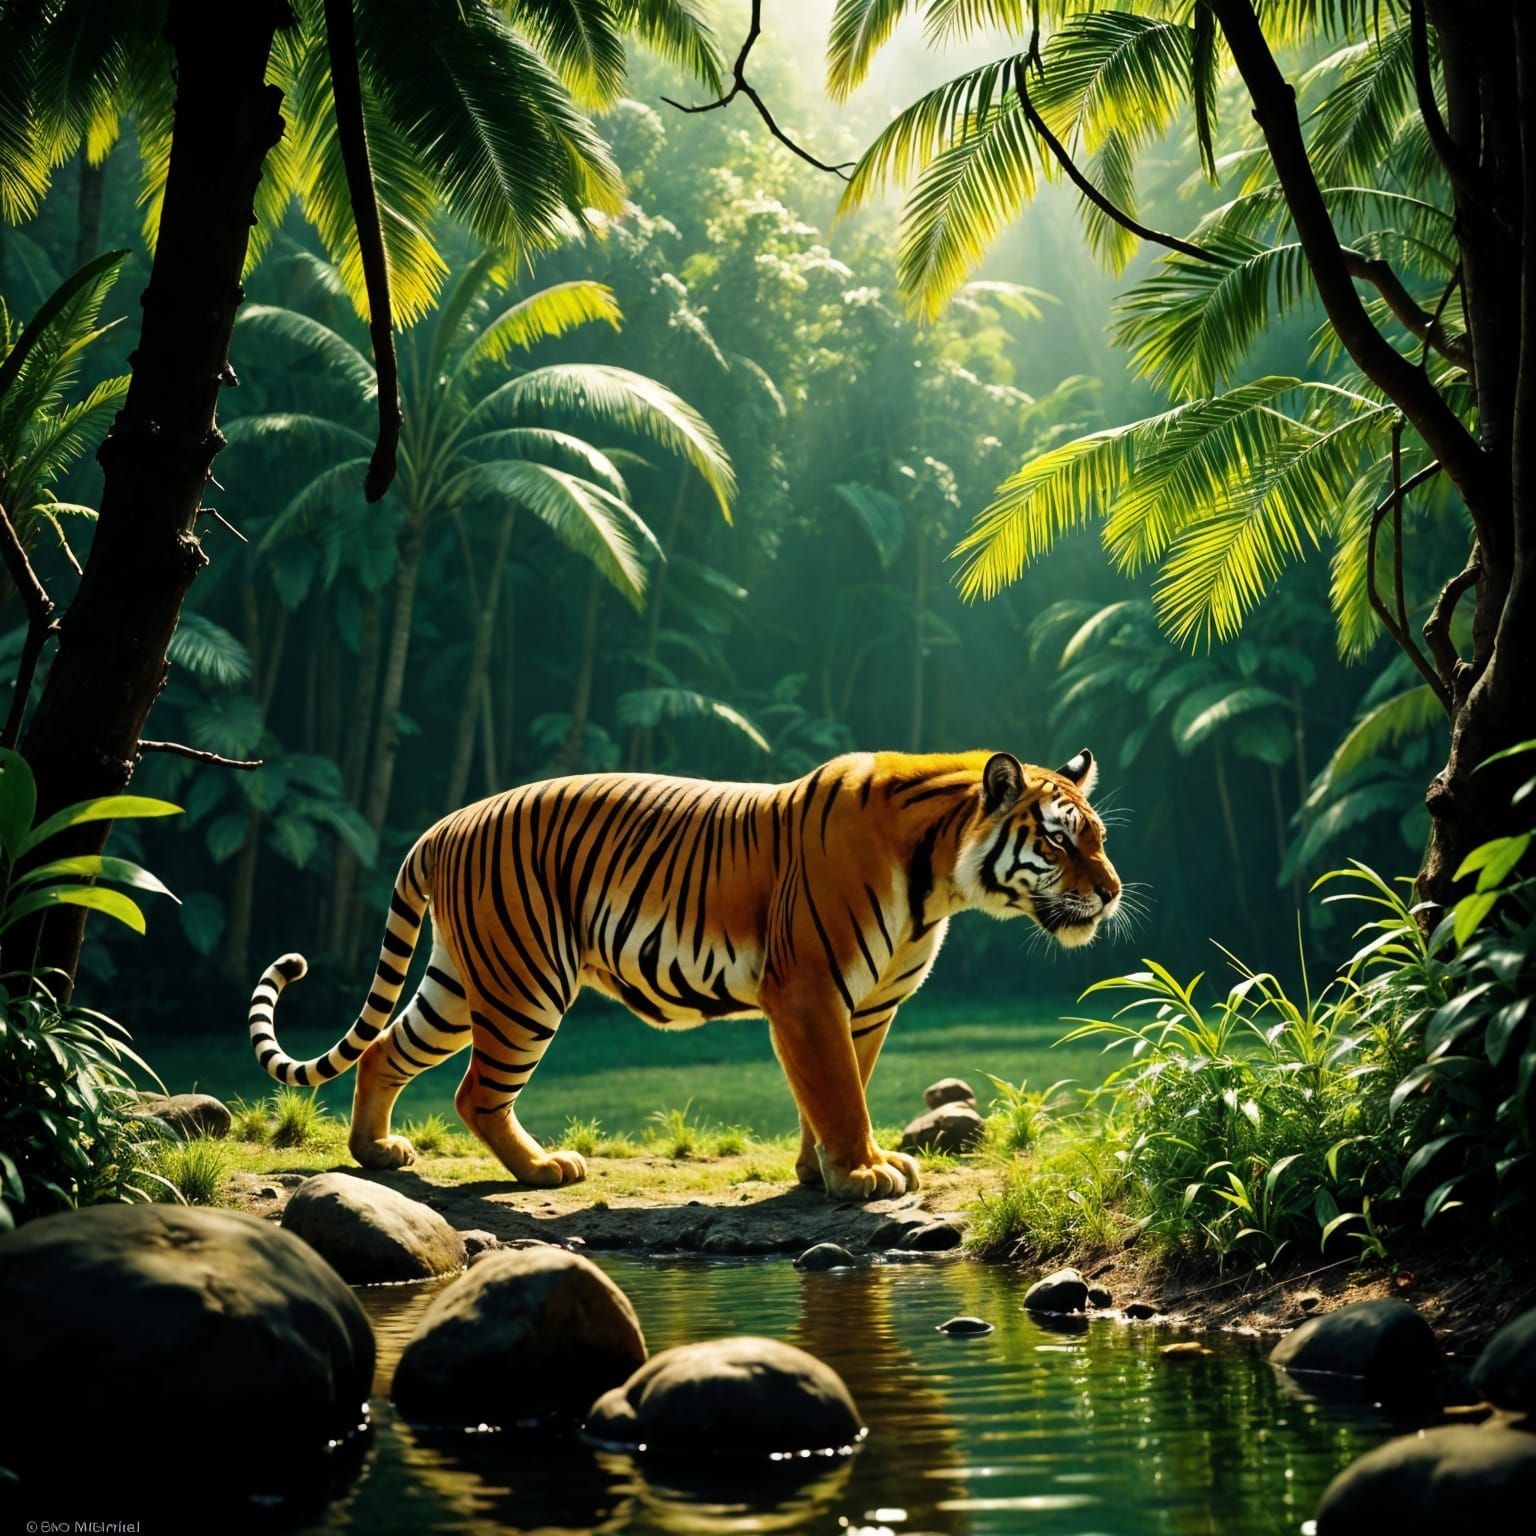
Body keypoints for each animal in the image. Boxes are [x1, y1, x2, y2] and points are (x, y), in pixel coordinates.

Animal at [247, 748, 1121, 1200]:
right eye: (1060, 840)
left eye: (1100, 837)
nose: (1113, 892)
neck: (940, 878)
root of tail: (443, 825)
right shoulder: (809, 991)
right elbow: (838, 1089)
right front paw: (863, 1173)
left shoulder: (867, 1007)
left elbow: (841, 1086)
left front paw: (822, 1171)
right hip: (524, 984)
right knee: (474, 1092)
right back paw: (542, 1169)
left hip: (464, 982)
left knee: (383, 1051)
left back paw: (376, 1152)